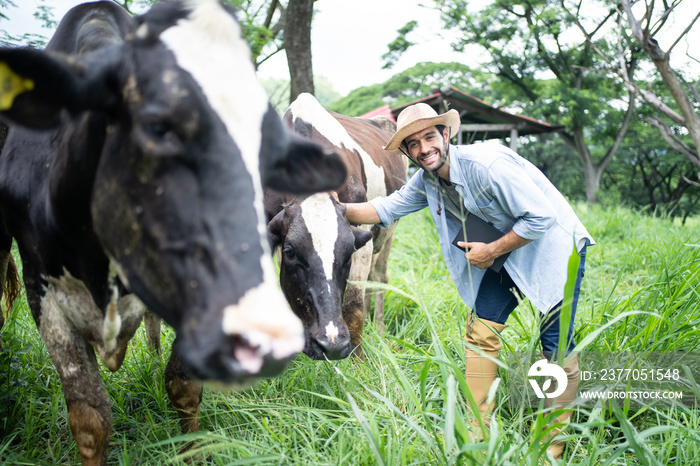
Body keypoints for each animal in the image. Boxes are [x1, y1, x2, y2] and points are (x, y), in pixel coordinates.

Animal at [266, 92, 408, 360]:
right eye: (291, 252)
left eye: (348, 251)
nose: (330, 344)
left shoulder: (362, 236)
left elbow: (353, 306)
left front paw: (359, 362)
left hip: (390, 230)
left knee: (379, 277)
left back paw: (379, 329)